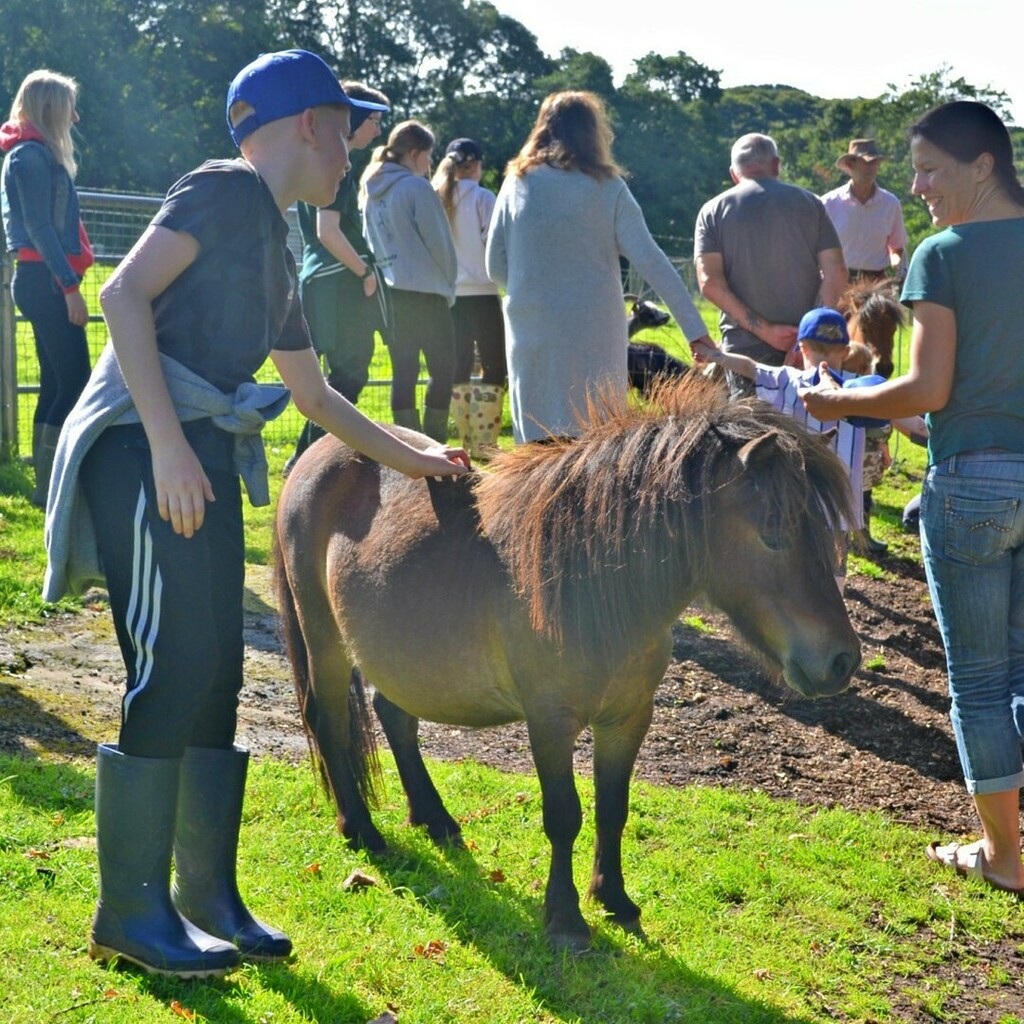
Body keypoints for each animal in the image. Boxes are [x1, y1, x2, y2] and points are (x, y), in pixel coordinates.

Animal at [274, 376, 861, 953]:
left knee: (394, 716)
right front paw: (565, 918)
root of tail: (317, 453)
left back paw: (434, 818)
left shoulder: (628, 718)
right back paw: (362, 830)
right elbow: (564, 815)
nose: (842, 660)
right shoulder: (550, 721)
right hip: (324, 637)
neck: (593, 588)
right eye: (773, 531)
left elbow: (612, 808)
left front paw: (615, 898)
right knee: (330, 720)